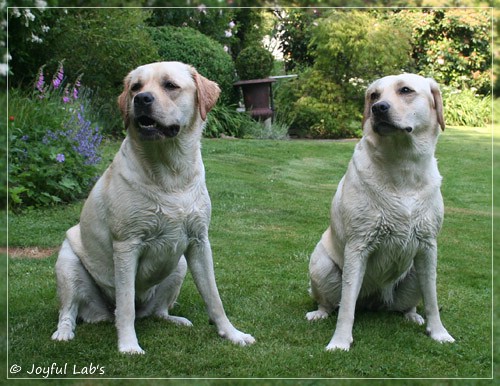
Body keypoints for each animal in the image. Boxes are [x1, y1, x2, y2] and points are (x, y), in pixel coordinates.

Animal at [51, 61, 256, 354]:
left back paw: (174, 319)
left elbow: (214, 297)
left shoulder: (199, 241)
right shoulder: (126, 245)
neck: (171, 174)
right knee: (71, 310)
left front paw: (231, 333)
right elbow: (125, 305)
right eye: (135, 87)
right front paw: (128, 345)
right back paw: (64, 332)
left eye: (170, 85)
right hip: (67, 263)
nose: (141, 99)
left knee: (158, 311)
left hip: (179, 264)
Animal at [306, 74, 456, 352]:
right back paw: (319, 313)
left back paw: (412, 316)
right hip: (321, 266)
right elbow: (347, 306)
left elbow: (431, 298)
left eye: (405, 90)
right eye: (374, 95)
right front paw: (340, 341)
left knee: (408, 304)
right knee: (333, 303)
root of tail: (373, 299)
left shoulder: (428, 247)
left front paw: (439, 332)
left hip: (414, 273)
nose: (378, 109)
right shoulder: (358, 245)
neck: (403, 167)